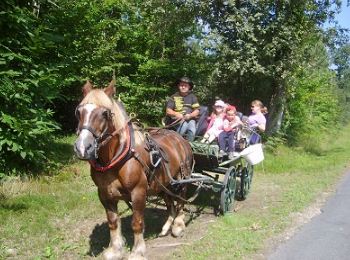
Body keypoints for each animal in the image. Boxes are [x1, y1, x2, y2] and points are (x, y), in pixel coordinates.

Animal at [73, 80, 191, 258]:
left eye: (105, 113)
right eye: (79, 111)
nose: (82, 148)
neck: (116, 158)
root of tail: (180, 138)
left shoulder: (138, 192)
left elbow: (137, 223)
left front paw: (137, 252)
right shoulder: (105, 194)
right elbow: (113, 222)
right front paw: (115, 249)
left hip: (182, 178)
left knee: (181, 200)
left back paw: (178, 225)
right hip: (164, 184)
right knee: (170, 202)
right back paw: (166, 227)